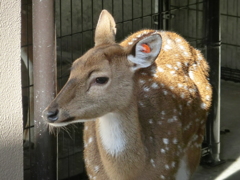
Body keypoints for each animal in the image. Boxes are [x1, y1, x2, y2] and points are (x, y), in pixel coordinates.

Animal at [42, 9, 212, 180]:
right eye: (73, 68)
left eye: (100, 79)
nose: (49, 113)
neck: (128, 173)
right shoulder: (93, 171)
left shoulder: (166, 169)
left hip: (195, 142)